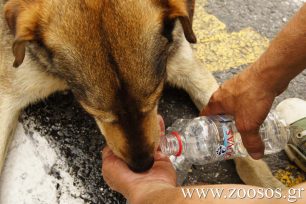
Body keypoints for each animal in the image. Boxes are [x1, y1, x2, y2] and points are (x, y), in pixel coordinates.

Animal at [0, 0, 284, 188]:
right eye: (95, 113)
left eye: (156, 98)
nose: (143, 167)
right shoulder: (9, 93)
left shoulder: (185, 62)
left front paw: (267, 184)